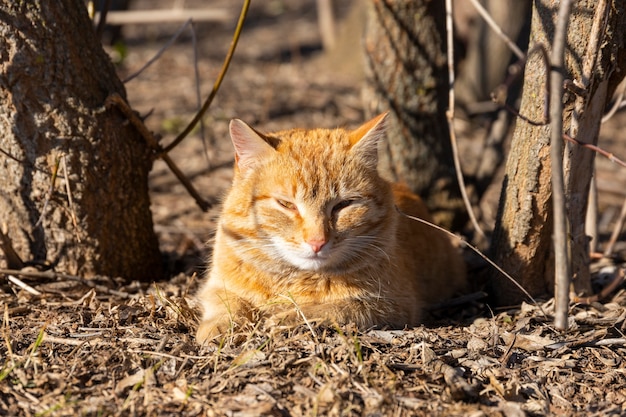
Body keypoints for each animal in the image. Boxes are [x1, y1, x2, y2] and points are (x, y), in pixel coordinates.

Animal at [195, 113, 464, 342]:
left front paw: (284, 317)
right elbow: (227, 303)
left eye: (343, 205)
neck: (295, 278)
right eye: (286, 204)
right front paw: (220, 325)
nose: (317, 242)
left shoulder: (392, 305)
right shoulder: (216, 285)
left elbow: (329, 309)